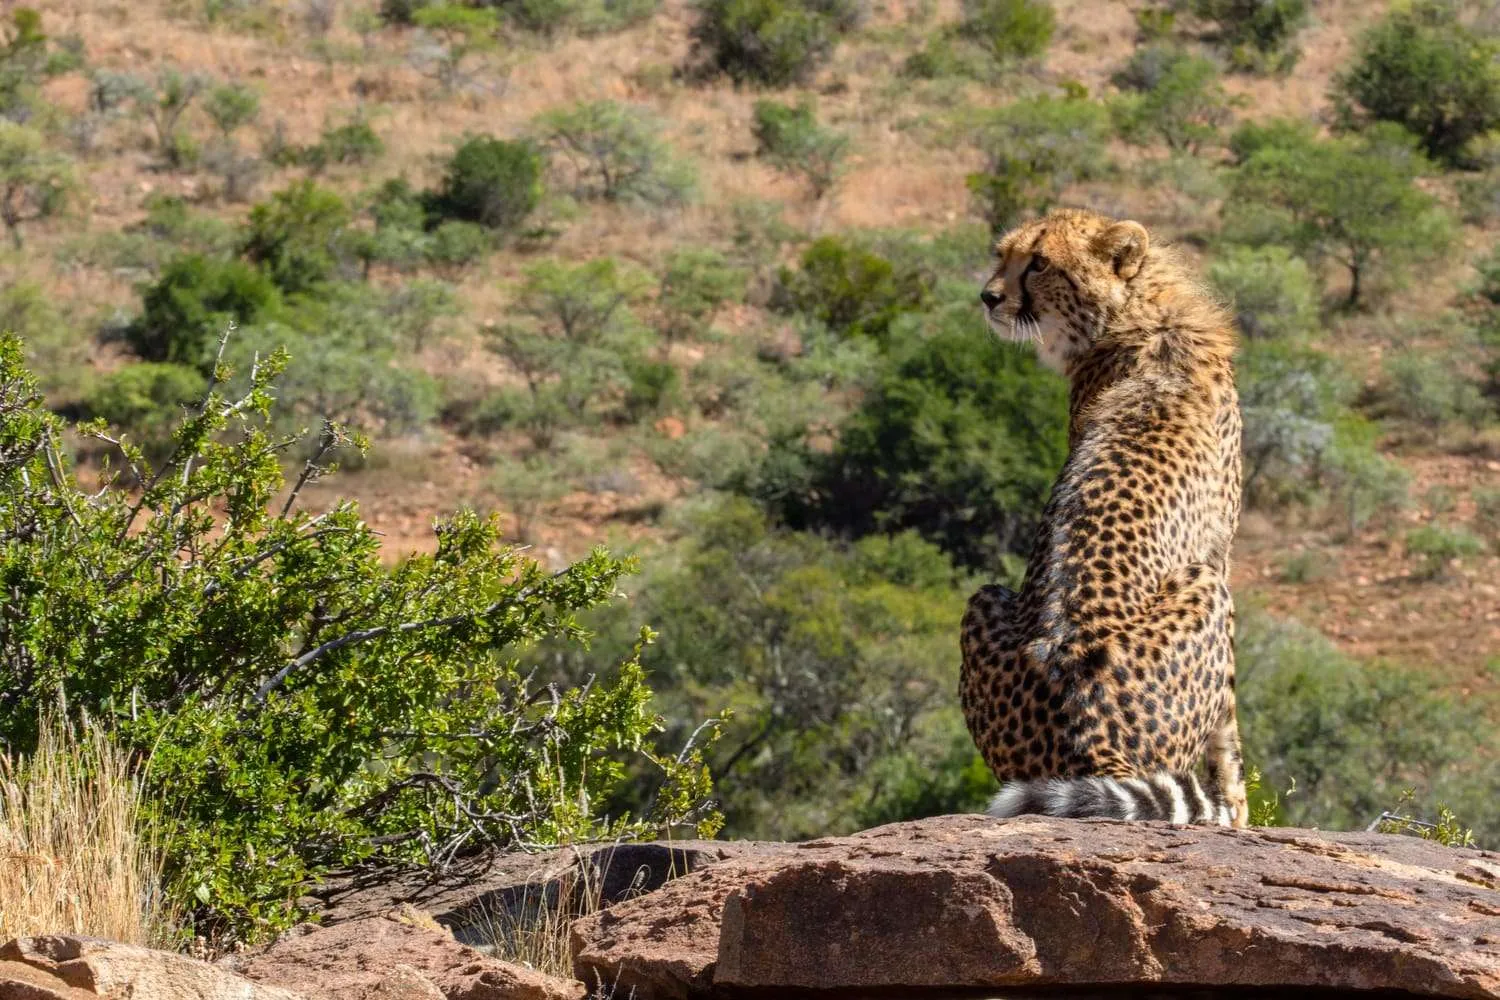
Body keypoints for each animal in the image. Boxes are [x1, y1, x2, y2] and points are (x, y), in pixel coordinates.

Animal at [958, 207, 1248, 827]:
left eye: (1039, 263)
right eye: (1003, 253)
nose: (989, 297)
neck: (1141, 313)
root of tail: (1090, 740)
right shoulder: (1220, 556)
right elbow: (1229, 734)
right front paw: (1239, 810)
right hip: (1202, 584)